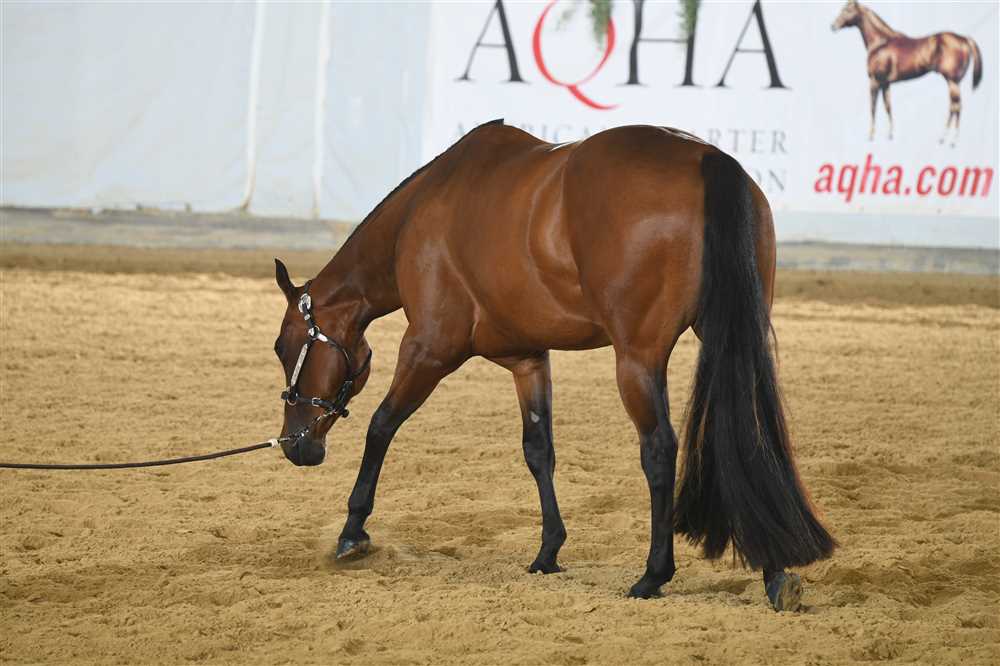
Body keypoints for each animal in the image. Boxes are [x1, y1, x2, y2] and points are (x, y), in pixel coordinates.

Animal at [270, 119, 835, 610]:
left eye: (284, 347)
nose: (296, 445)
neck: (424, 214)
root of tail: (708, 158)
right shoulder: (527, 359)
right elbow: (539, 450)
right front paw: (548, 551)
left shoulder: (429, 348)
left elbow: (381, 426)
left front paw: (352, 532)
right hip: (734, 334)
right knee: (751, 439)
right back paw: (776, 571)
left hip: (637, 359)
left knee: (659, 450)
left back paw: (653, 575)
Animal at [831, 0, 983, 146]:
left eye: (848, 10)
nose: (833, 26)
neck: (881, 42)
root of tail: (964, 39)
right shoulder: (885, 83)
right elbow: (888, 107)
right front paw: (890, 134)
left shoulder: (874, 82)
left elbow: (873, 108)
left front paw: (871, 136)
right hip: (953, 82)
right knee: (954, 107)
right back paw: (944, 139)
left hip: (952, 81)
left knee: (955, 107)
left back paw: (950, 140)